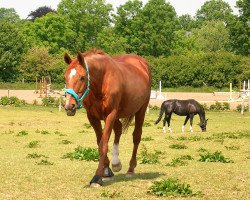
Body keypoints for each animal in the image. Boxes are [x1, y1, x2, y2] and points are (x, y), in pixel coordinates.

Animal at [63, 48, 151, 188]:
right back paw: (116, 163)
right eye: (65, 77)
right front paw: (106, 169)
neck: (102, 80)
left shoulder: (110, 115)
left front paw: (96, 177)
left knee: (136, 137)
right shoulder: (92, 117)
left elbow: (103, 144)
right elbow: (100, 142)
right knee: (118, 130)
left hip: (140, 110)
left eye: (82, 77)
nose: (69, 106)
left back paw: (131, 169)